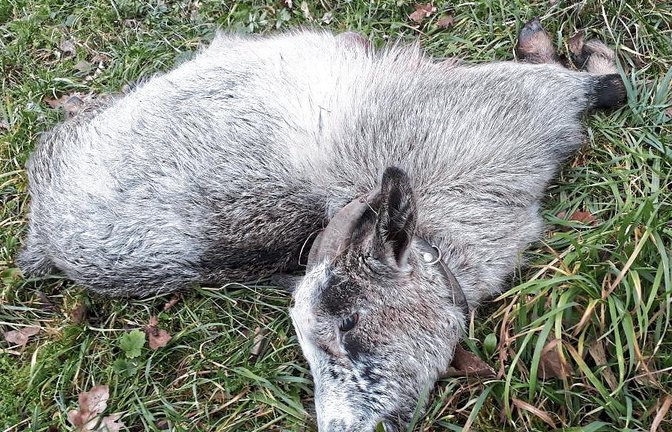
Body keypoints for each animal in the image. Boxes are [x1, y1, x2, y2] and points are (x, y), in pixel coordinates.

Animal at [18, 19, 625, 431]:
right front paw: (569, 49)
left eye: (349, 324)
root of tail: (42, 235)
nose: (350, 427)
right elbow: (606, 84)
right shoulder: (519, 99)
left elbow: (604, 87)